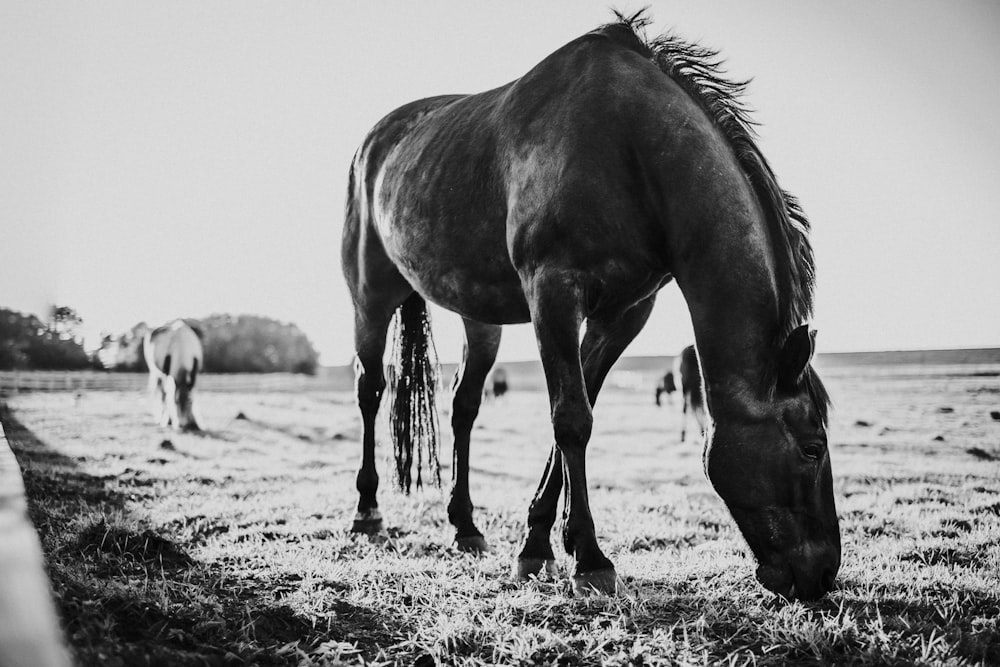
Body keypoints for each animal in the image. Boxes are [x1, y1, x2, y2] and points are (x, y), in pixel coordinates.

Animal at [340, 13, 840, 604]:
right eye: (812, 448)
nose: (824, 573)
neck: (631, 147)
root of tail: (375, 143)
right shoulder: (553, 292)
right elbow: (572, 419)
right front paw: (590, 559)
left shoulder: (623, 314)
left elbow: (577, 413)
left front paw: (539, 542)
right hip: (369, 299)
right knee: (371, 390)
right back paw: (367, 513)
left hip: (479, 319)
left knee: (463, 406)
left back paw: (465, 525)